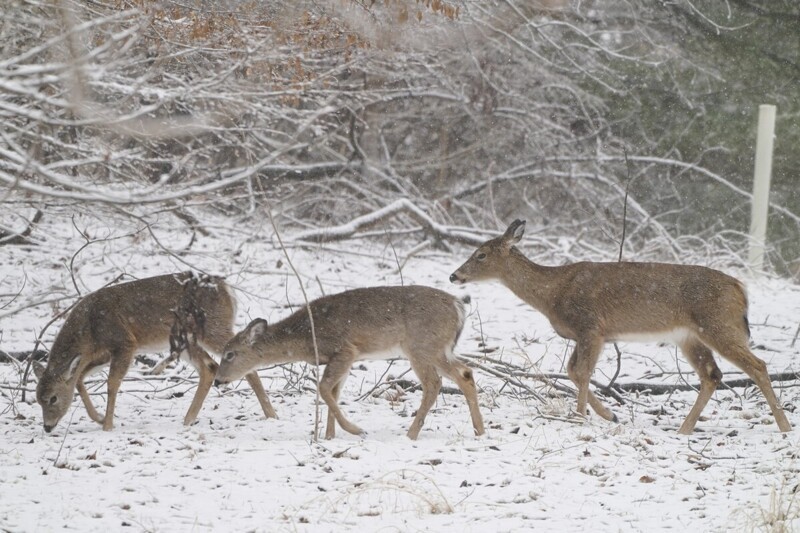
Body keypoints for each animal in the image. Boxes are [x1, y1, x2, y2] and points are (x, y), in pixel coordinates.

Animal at [33, 272, 278, 430]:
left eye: (53, 398)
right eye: (38, 399)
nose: (47, 427)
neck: (89, 331)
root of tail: (228, 290)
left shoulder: (124, 342)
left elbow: (112, 383)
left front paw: (108, 425)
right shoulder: (101, 354)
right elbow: (79, 379)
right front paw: (100, 418)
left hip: (212, 327)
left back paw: (271, 414)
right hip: (187, 338)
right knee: (209, 367)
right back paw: (188, 419)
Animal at [214, 284, 488, 438]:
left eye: (230, 354)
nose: (217, 380)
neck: (306, 336)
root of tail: (458, 307)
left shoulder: (345, 349)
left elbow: (323, 389)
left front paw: (355, 430)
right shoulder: (340, 358)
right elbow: (333, 393)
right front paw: (329, 437)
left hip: (421, 346)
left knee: (434, 383)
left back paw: (411, 434)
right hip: (438, 348)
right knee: (465, 373)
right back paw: (479, 430)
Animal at [450, 219, 792, 432]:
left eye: (481, 254)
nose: (455, 275)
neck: (552, 293)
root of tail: (740, 289)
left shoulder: (591, 325)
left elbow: (581, 372)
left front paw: (580, 417)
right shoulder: (587, 334)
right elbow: (573, 371)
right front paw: (609, 414)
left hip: (719, 325)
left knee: (758, 365)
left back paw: (784, 426)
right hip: (689, 336)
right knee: (712, 374)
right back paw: (684, 428)